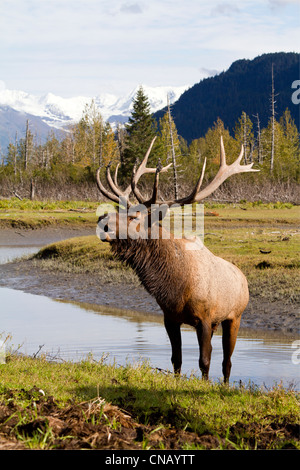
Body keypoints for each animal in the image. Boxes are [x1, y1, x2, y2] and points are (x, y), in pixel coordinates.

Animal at [95, 137, 258, 382]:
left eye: (134, 218)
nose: (102, 220)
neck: (176, 286)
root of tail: (243, 278)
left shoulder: (205, 318)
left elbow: (204, 361)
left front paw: (204, 385)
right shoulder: (170, 317)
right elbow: (176, 359)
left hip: (234, 317)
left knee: (226, 362)